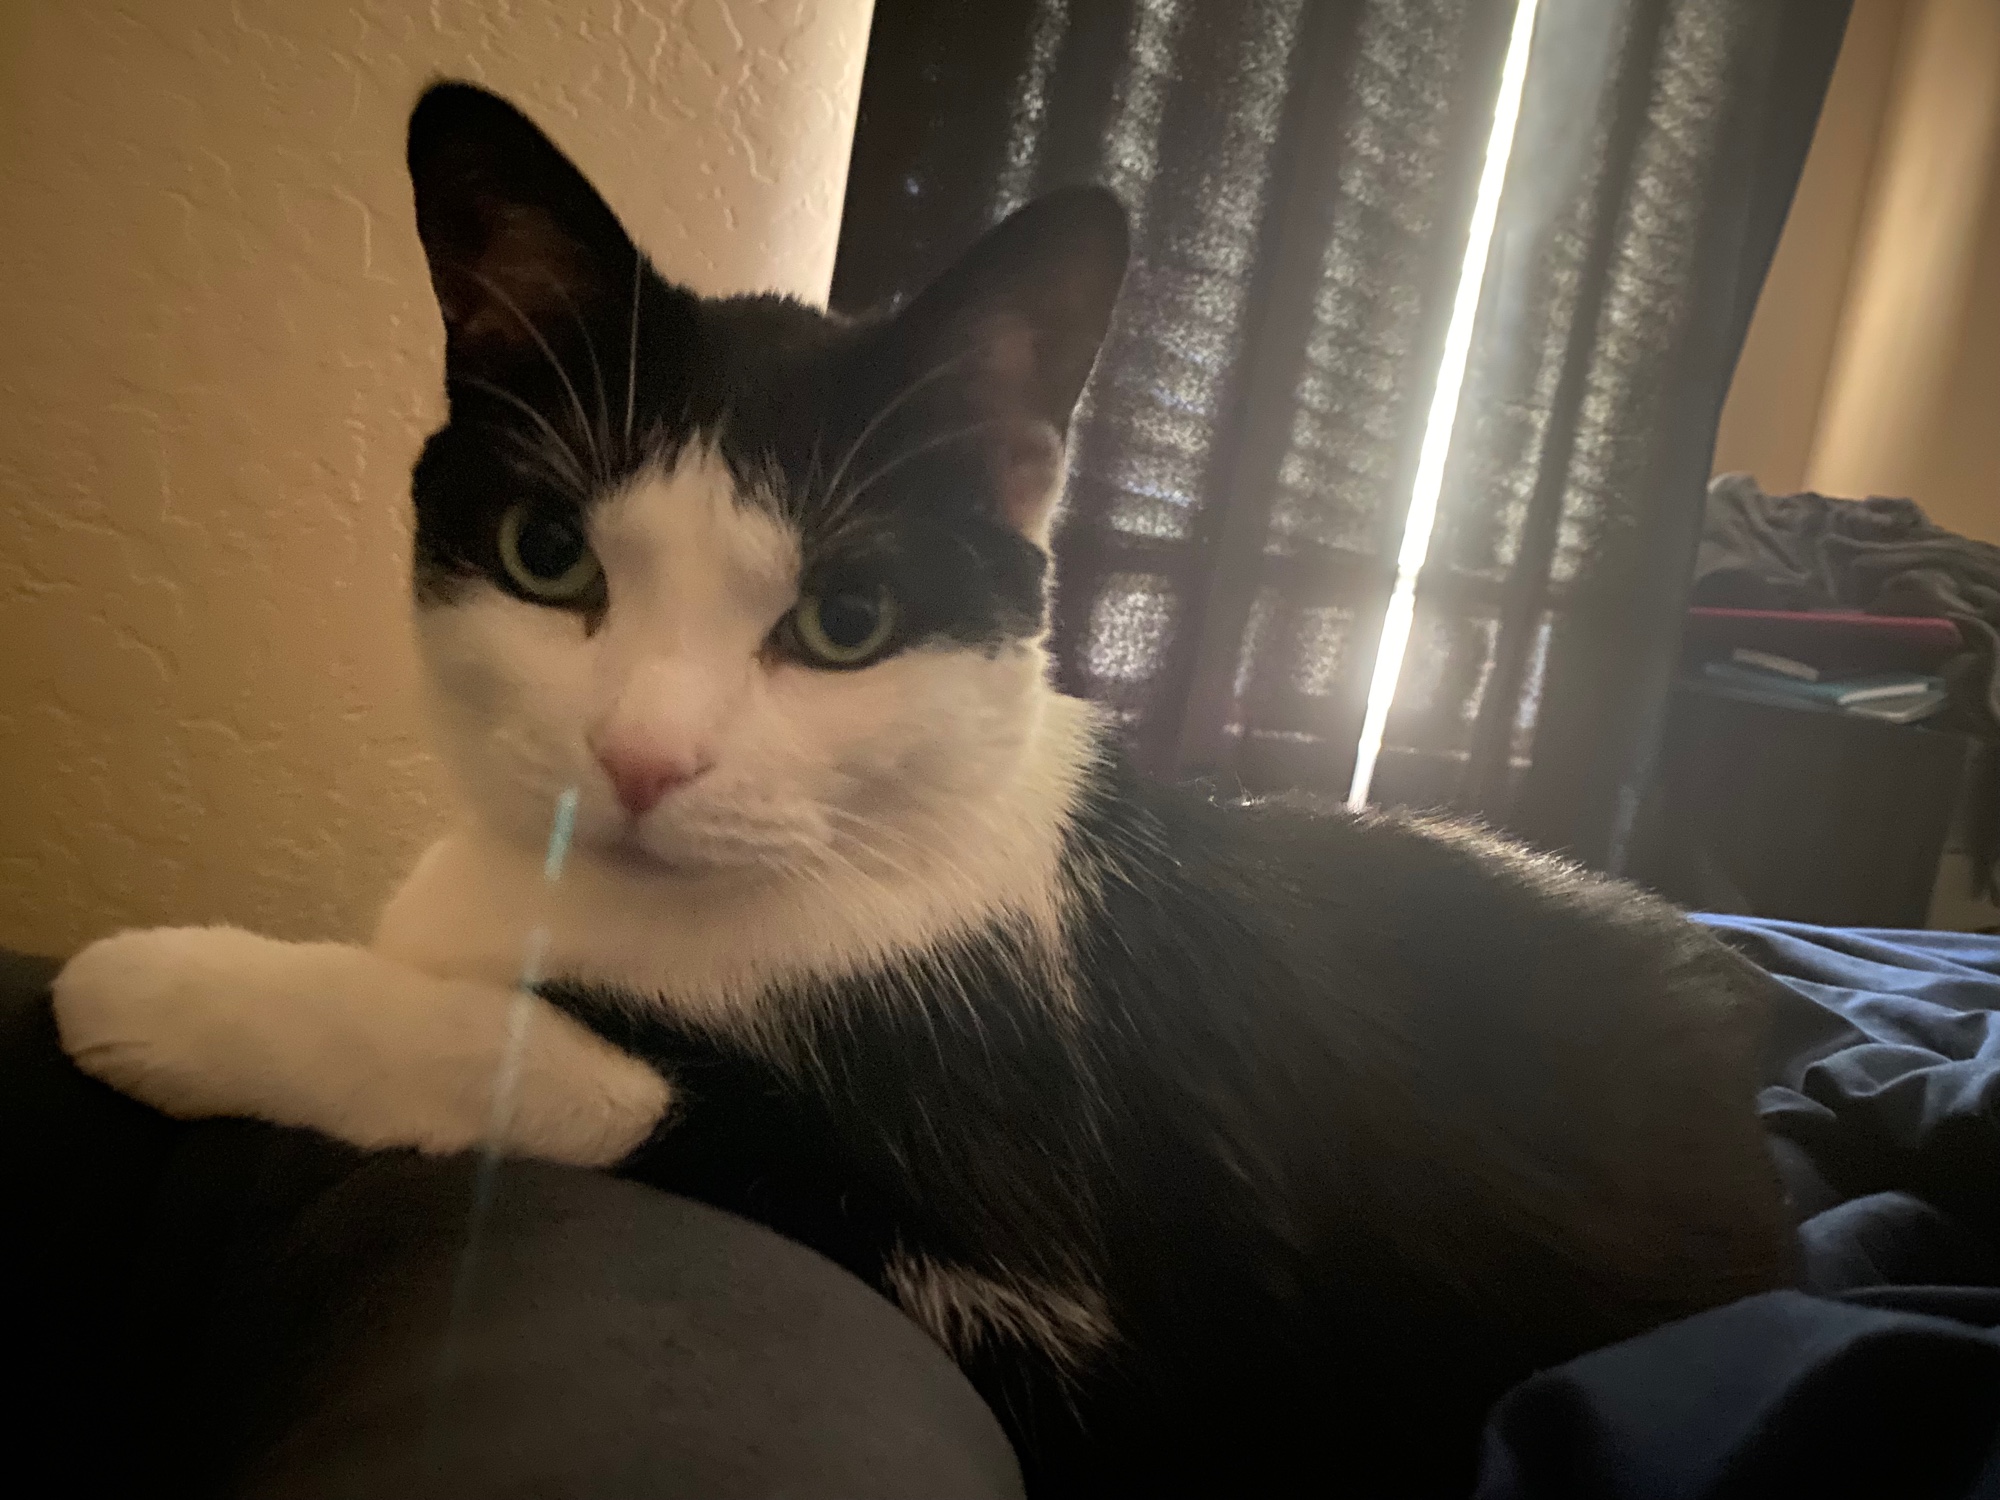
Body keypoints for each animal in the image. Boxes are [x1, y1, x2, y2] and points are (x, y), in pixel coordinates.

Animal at [53, 81, 1796, 1498]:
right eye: (548, 555)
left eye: (847, 622)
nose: (641, 761)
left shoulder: (1079, 1336)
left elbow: (603, 1076)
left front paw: (180, 988)